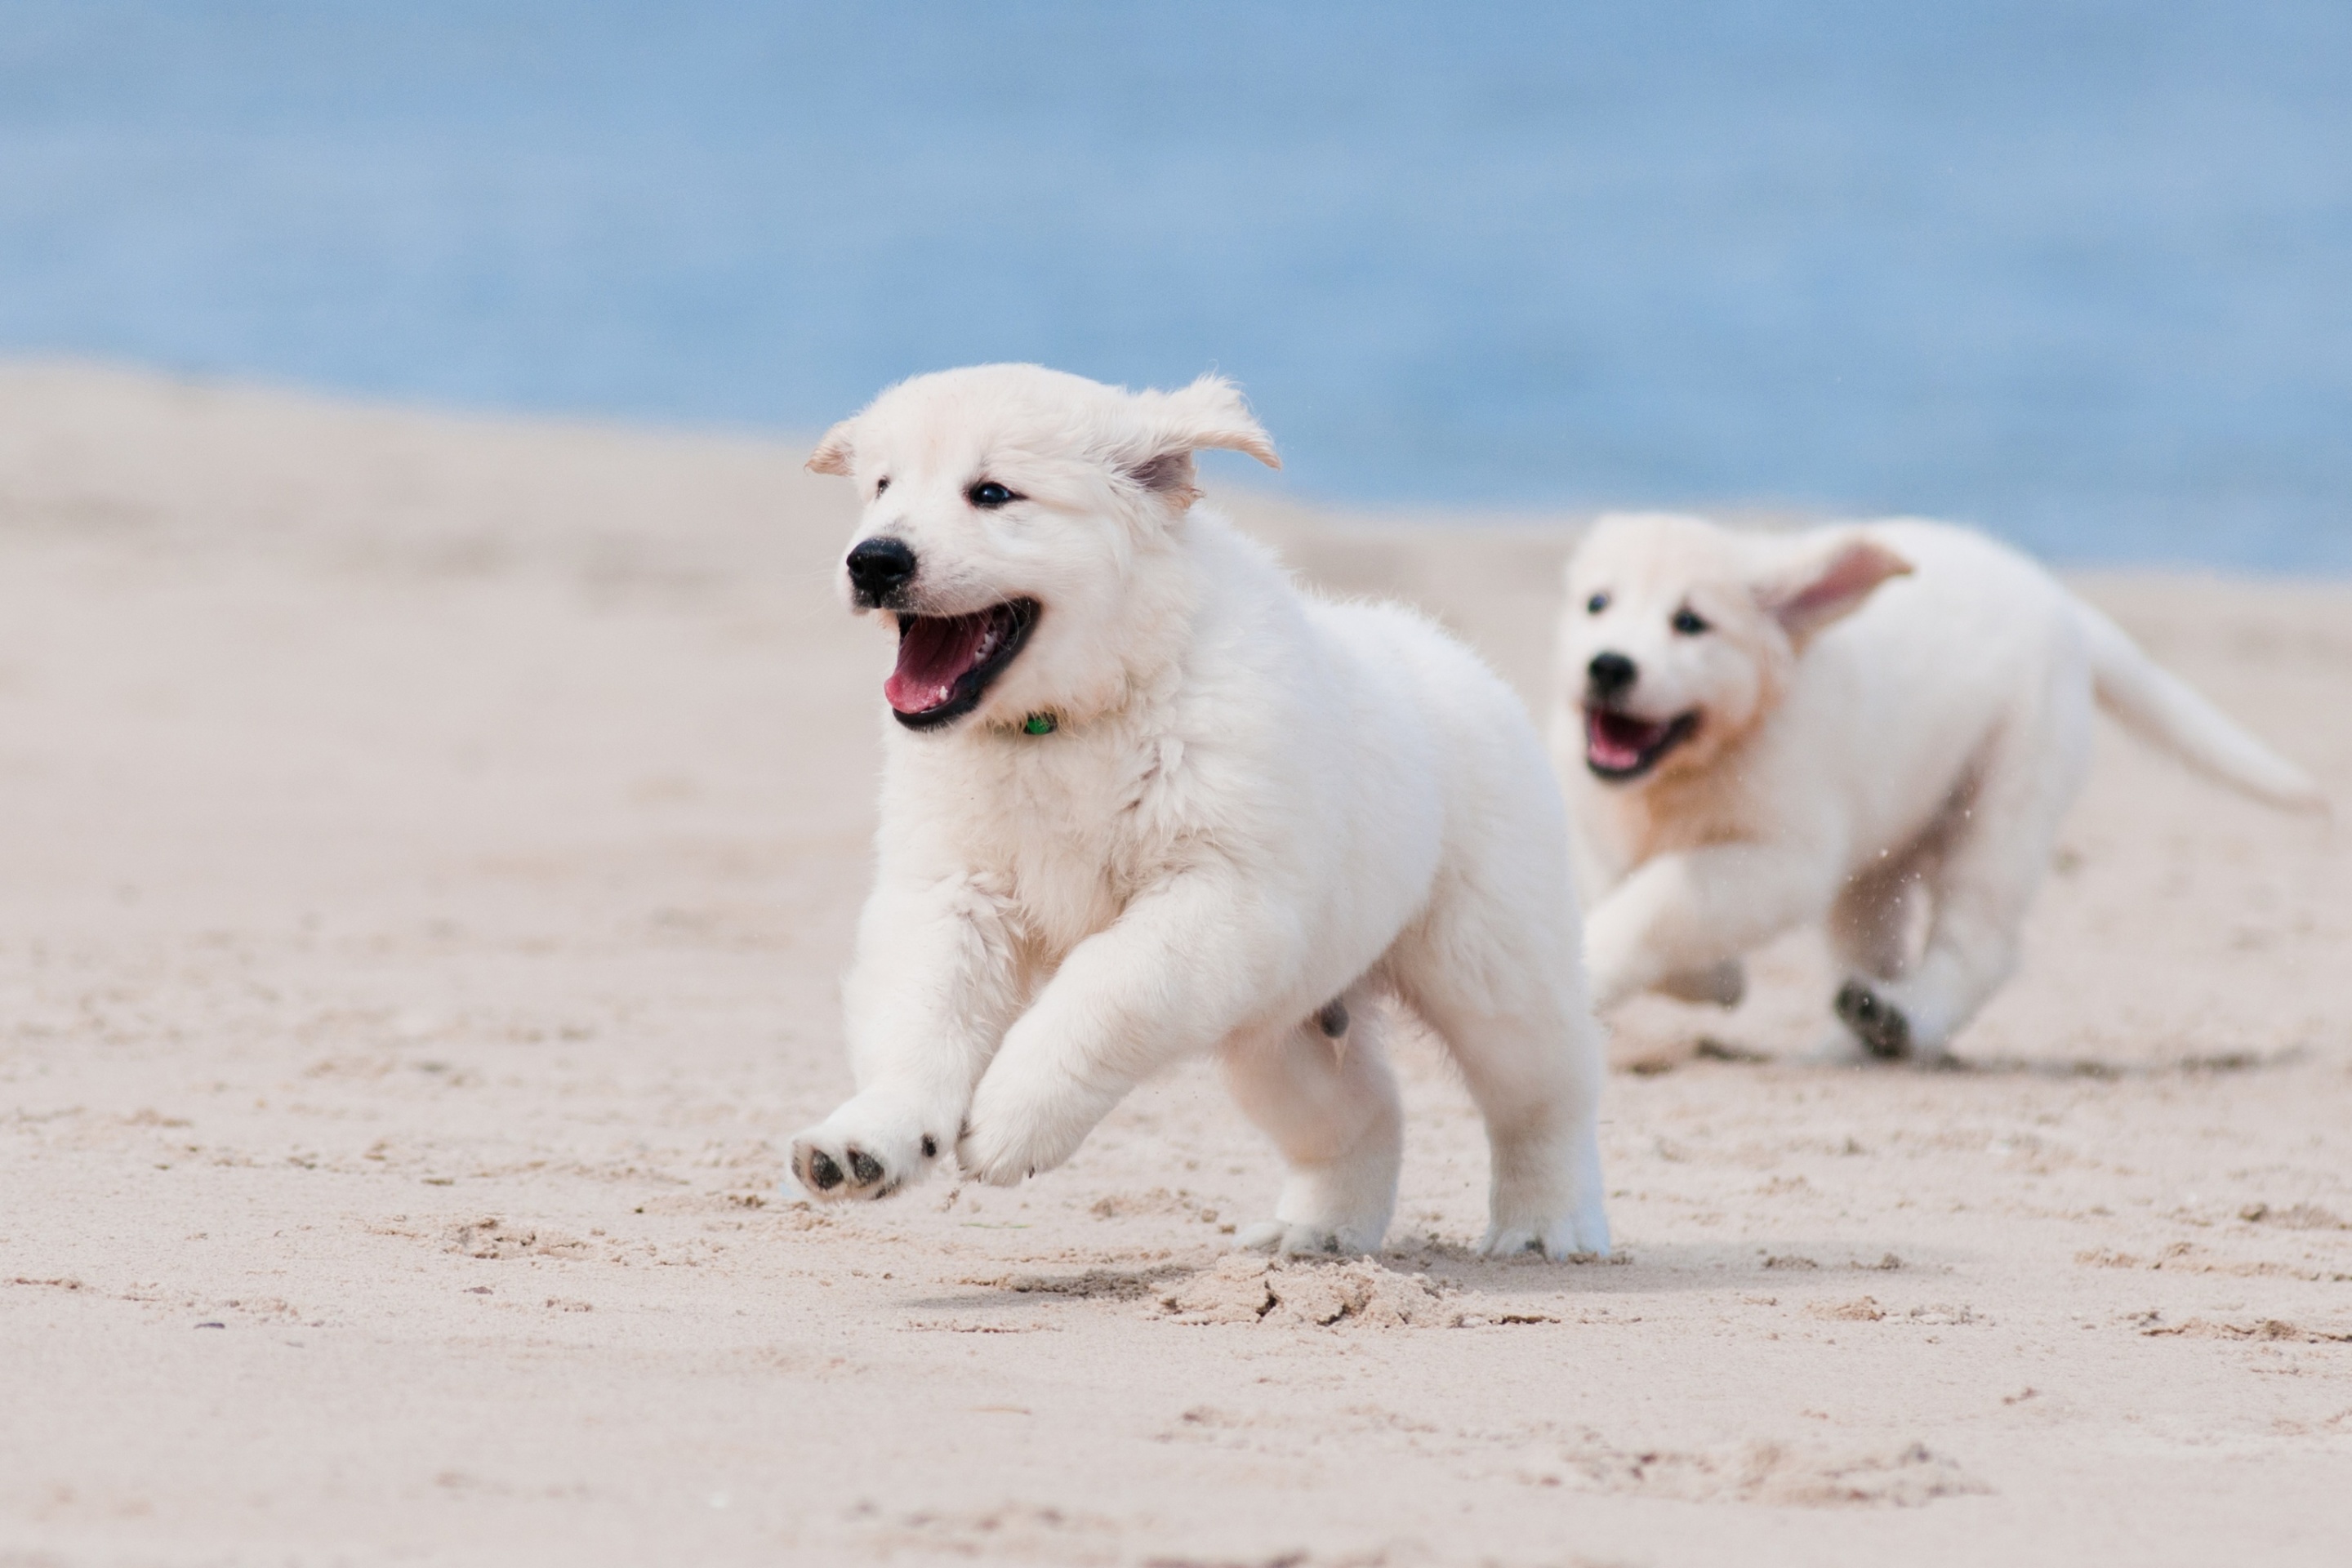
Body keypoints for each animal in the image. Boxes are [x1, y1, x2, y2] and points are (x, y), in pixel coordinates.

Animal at [781, 362, 1608, 1259]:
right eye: (881, 488)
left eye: (993, 493)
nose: (873, 561)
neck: (1065, 725)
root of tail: (1457, 659)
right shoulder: (951, 889)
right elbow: (921, 1010)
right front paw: (868, 1139)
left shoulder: (1220, 893)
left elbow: (1104, 990)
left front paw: (1012, 1119)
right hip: (1280, 1028)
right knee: (1362, 1113)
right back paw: (1315, 1234)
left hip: (1489, 964)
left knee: (1546, 1092)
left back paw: (1547, 1225)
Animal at [1552, 514, 2323, 1067]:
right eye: (1597, 604)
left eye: (1691, 623)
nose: (1608, 666)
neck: (1687, 769)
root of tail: (2060, 601)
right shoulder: (1592, 826)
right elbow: (1622, 892)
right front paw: (1716, 979)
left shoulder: (1783, 857)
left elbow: (1653, 903)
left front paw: (1620, 969)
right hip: (1879, 859)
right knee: (1875, 951)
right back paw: (1856, 1036)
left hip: (2007, 799)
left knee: (1979, 943)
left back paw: (1904, 1021)